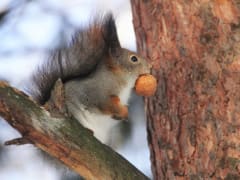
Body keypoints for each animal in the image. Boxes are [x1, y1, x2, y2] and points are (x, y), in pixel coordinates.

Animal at [30, 13, 153, 144]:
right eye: (134, 59)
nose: (150, 65)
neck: (119, 79)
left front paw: (124, 114)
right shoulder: (98, 93)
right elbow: (105, 103)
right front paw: (122, 112)